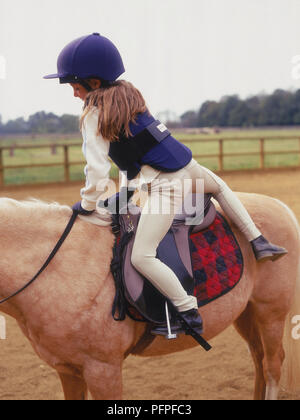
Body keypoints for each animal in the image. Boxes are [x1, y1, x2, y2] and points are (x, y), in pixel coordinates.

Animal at [0, 192, 300, 398]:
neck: (60, 264)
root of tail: (280, 207)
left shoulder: (103, 370)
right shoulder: (68, 370)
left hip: (270, 313)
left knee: (273, 365)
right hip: (246, 314)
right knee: (259, 361)